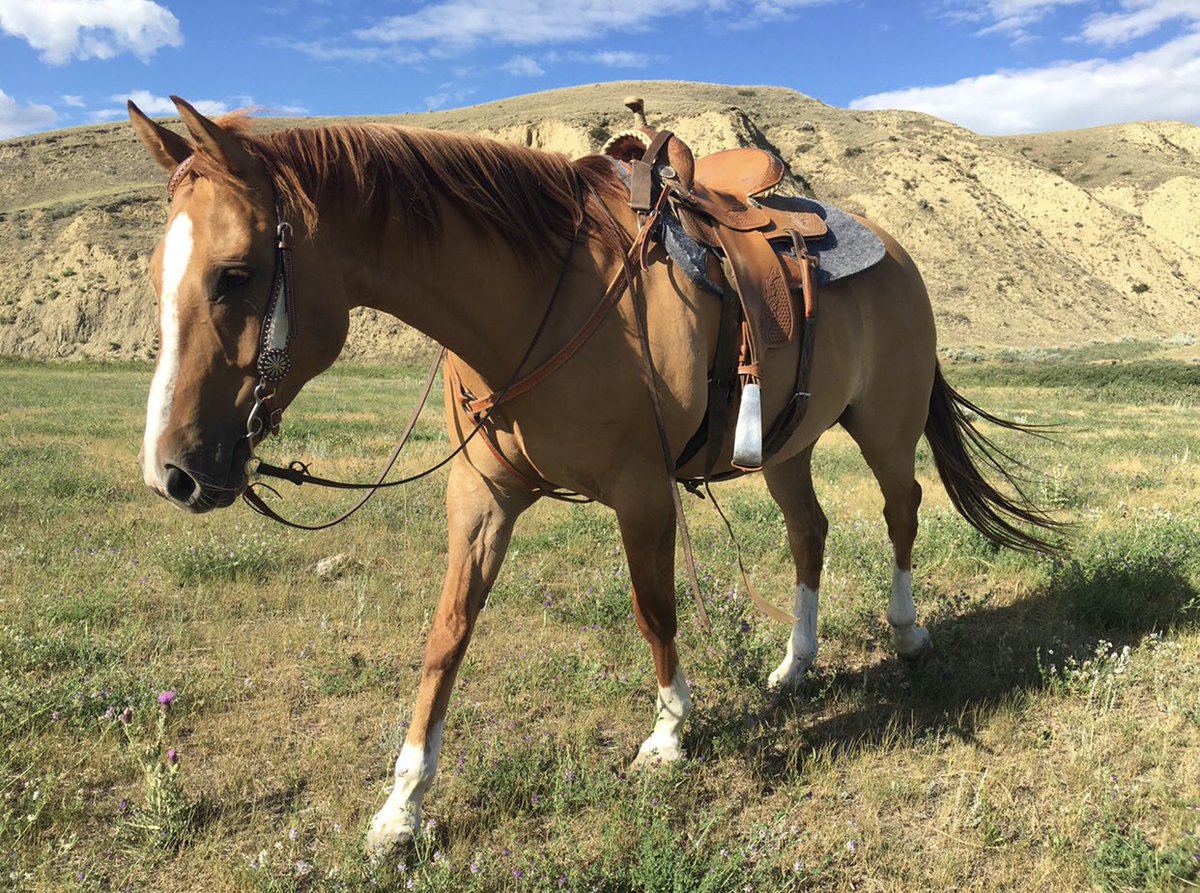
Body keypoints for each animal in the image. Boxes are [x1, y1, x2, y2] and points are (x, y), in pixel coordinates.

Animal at [127, 96, 1057, 853]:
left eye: (236, 273)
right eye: (158, 275)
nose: (172, 471)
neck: (540, 294)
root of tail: (894, 249)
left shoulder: (640, 491)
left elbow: (655, 610)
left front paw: (669, 733)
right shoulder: (481, 498)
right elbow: (445, 638)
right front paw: (402, 808)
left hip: (884, 426)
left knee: (903, 508)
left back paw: (907, 630)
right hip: (786, 443)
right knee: (810, 530)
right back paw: (794, 665)